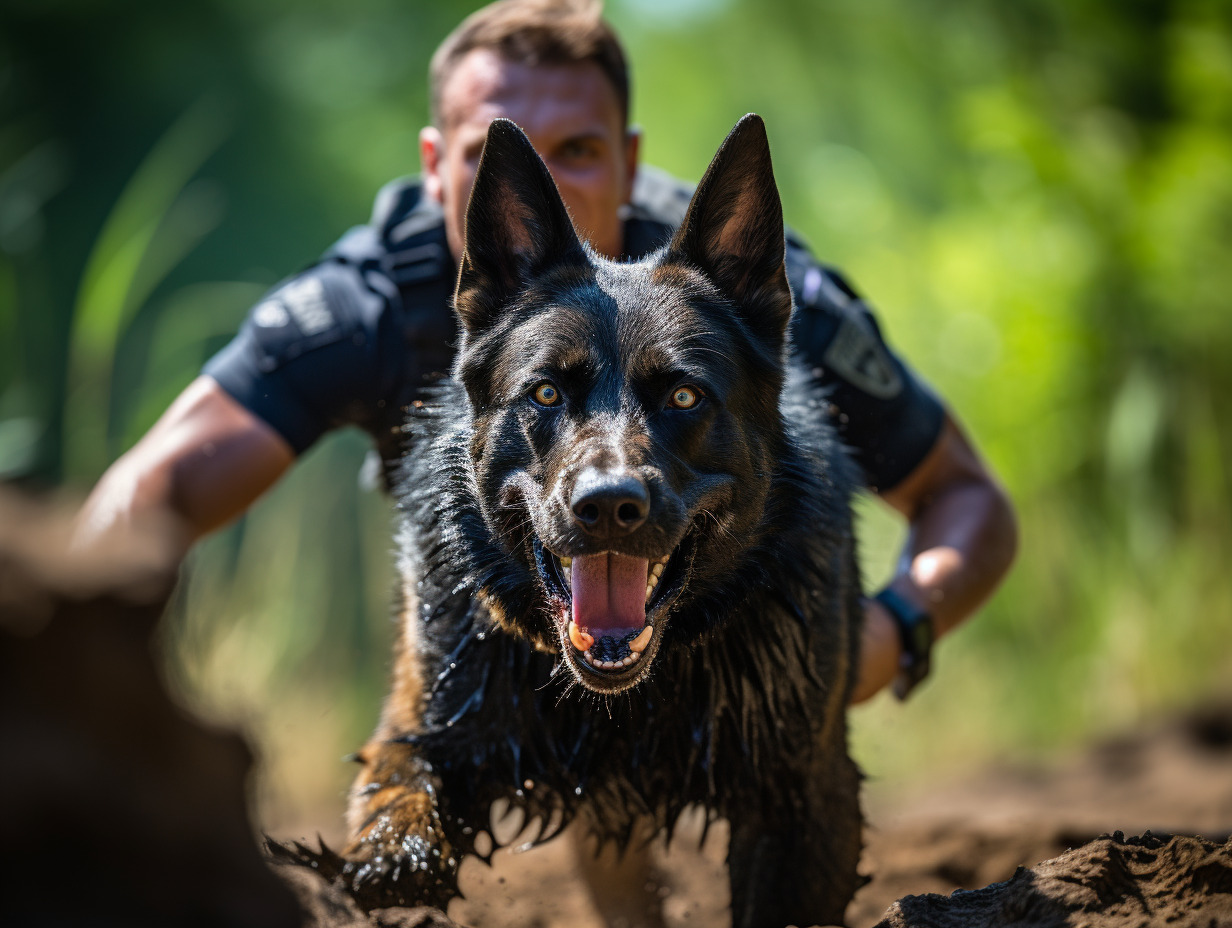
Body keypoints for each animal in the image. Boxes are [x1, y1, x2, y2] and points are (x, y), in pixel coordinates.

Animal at [317, 113, 862, 926]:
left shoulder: (804, 801)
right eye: (544, 393)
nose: (608, 507)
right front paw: (398, 851)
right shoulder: (429, 716)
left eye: (684, 397)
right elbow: (399, 775)